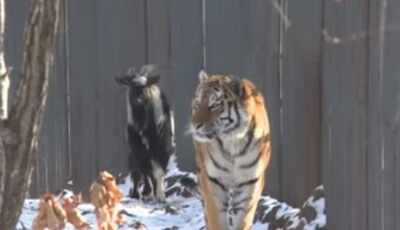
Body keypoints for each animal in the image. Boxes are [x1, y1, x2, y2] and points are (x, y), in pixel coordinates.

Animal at [115, 64, 176, 201]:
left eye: (145, 86)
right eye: (131, 86)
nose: (138, 100)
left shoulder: (162, 145)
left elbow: (159, 170)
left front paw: (160, 195)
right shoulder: (138, 148)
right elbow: (144, 169)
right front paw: (147, 192)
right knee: (138, 171)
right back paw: (137, 193)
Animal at [191, 70, 272, 230]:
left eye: (214, 105)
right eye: (197, 103)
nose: (195, 125)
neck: (233, 142)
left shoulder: (251, 183)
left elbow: (243, 221)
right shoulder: (213, 182)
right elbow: (215, 220)